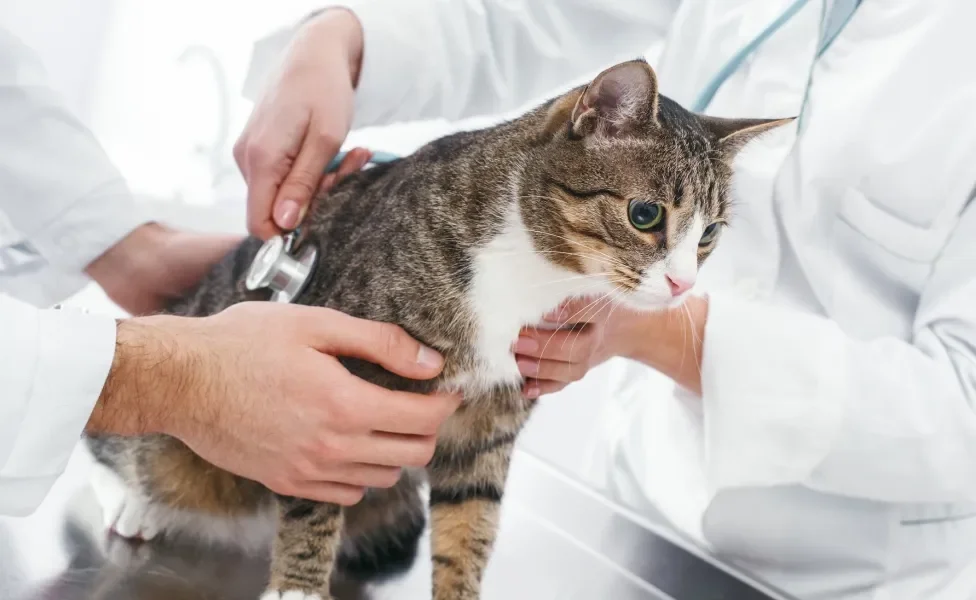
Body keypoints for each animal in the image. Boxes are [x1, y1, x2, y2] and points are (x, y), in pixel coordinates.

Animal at [86, 57, 792, 600]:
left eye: (709, 234)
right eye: (645, 215)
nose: (684, 286)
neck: (528, 274)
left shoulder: (491, 420)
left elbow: (469, 525)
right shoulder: (337, 394)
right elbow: (314, 504)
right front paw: (297, 585)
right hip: (170, 425)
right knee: (118, 441)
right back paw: (134, 501)